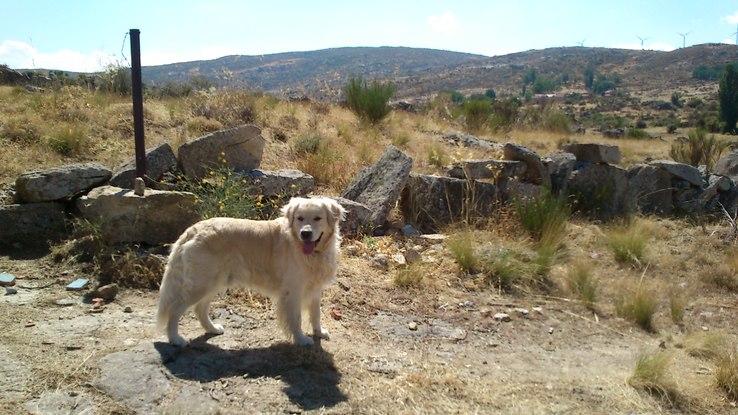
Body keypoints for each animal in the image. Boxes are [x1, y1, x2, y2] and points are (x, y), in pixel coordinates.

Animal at [155, 197, 344, 346]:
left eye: (318, 218)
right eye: (300, 218)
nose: (305, 233)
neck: (313, 253)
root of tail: (192, 230)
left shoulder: (315, 289)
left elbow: (316, 314)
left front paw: (319, 332)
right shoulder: (292, 291)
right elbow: (296, 319)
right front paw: (301, 340)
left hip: (214, 282)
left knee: (200, 309)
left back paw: (213, 328)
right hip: (200, 284)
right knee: (175, 309)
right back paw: (175, 339)